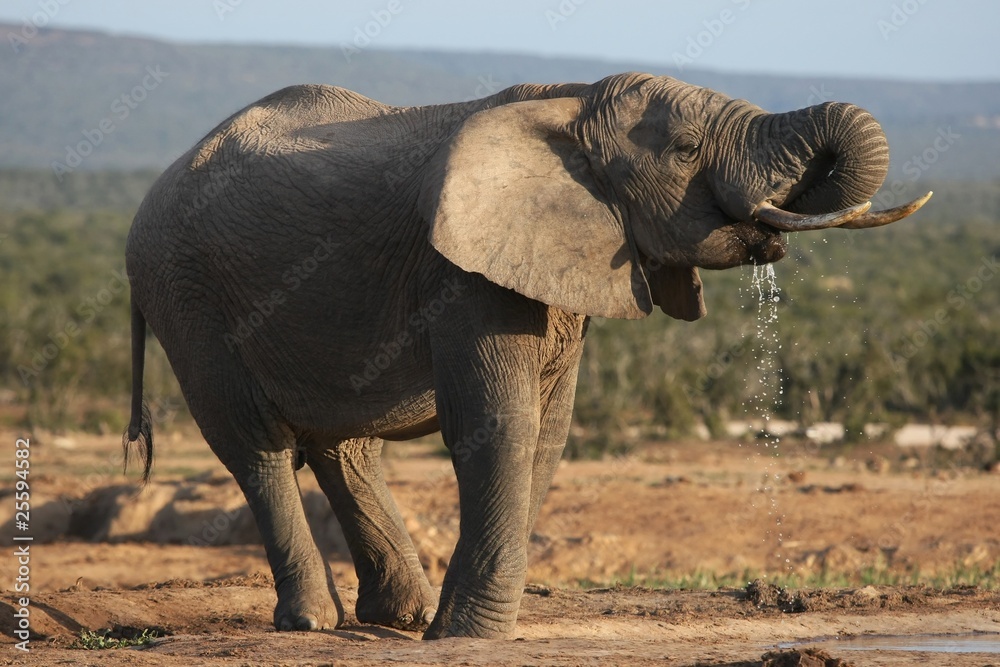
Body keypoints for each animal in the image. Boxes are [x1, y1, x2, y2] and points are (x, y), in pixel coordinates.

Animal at [123, 72, 929, 639]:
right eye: (685, 150)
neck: (567, 106)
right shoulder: (462, 273)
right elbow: (497, 426)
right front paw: (468, 636)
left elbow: (547, 432)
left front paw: (455, 629)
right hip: (186, 295)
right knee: (254, 444)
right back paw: (316, 622)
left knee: (342, 446)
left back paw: (400, 619)